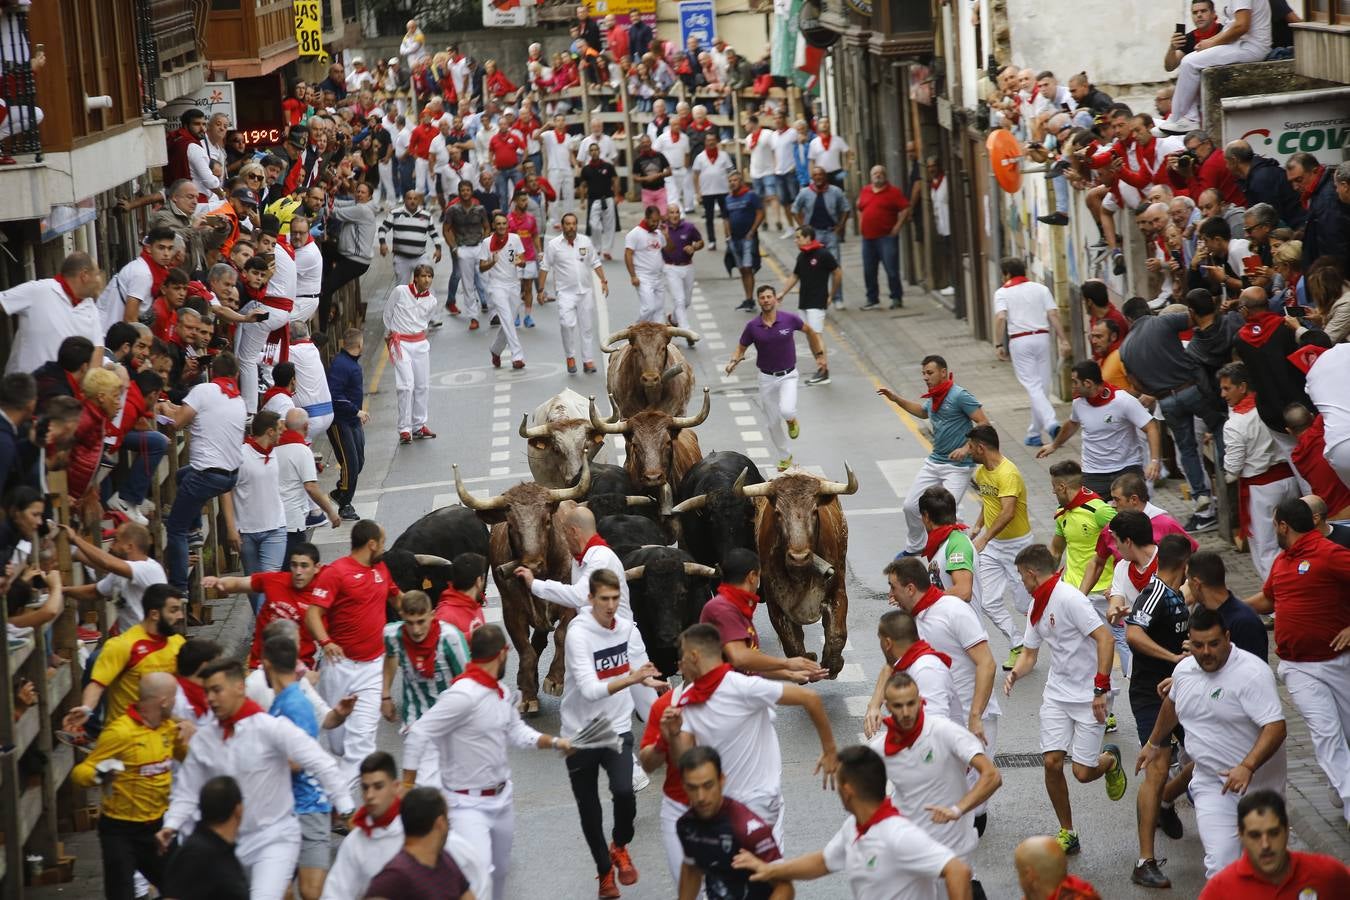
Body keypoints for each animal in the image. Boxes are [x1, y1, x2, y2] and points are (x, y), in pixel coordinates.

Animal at [453, 461, 591, 712]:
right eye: (511, 523)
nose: (533, 564)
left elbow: (562, 635)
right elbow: (525, 650)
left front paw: (555, 679)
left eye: (547, 520)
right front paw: (527, 695)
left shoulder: (571, 604)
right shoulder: (512, 611)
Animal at [734, 464, 858, 674]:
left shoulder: (838, 589)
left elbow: (837, 634)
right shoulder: (775, 602)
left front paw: (833, 664)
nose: (799, 557)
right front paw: (806, 661)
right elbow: (792, 643)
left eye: (815, 510)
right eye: (778, 512)